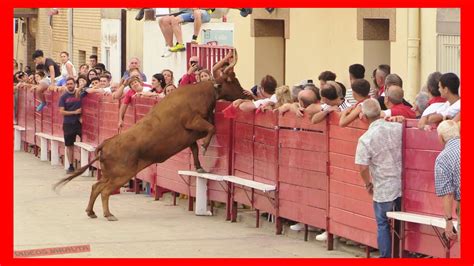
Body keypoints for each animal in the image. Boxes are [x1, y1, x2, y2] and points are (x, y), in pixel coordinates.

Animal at [53, 51, 250, 220]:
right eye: (233, 80)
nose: (247, 94)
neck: (204, 92)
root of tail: (106, 144)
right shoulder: (193, 122)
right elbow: (211, 129)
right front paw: (205, 146)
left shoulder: (191, 135)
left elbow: (195, 146)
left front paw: (200, 166)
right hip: (122, 174)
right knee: (105, 190)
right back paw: (108, 214)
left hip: (111, 174)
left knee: (96, 187)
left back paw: (91, 212)